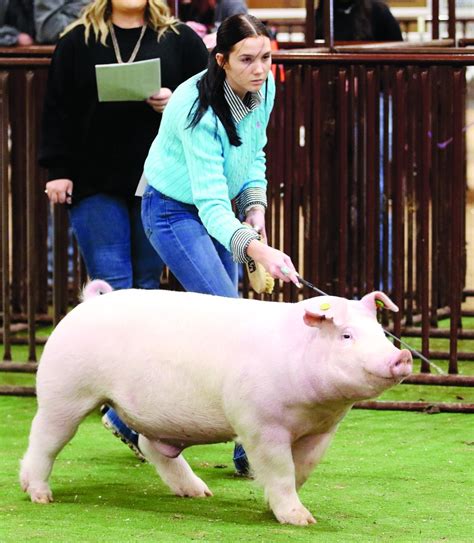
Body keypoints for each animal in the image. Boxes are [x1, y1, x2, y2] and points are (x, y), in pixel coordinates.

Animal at [19, 284, 412, 528]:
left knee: (151, 445)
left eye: (382, 334)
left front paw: (280, 507)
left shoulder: (323, 430)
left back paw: (199, 493)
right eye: (346, 335)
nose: (403, 356)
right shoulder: (259, 423)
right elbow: (280, 469)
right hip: (64, 391)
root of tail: (87, 303)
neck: (315, 407)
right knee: (44, 440)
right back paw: (39, 496)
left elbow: (302, 470)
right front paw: (301, 520)